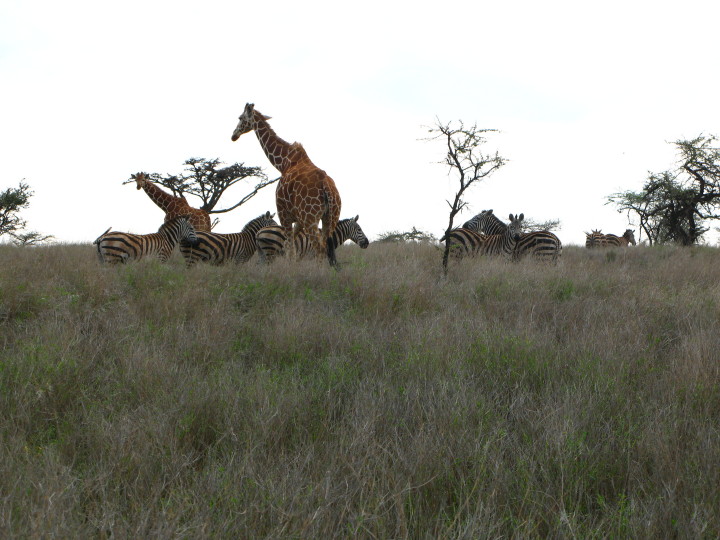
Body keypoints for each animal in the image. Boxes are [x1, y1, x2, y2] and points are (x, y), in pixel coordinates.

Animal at [230, 103, 342, 267]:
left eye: (240, 118)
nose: (234, 135)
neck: (283, 163)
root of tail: (327, 188)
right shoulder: (298, 219)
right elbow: (290, 247)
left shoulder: (283, 213)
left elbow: (289, 248)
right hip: (331, 217)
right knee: (326, 247)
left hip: (311, 218)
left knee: (319, 248)